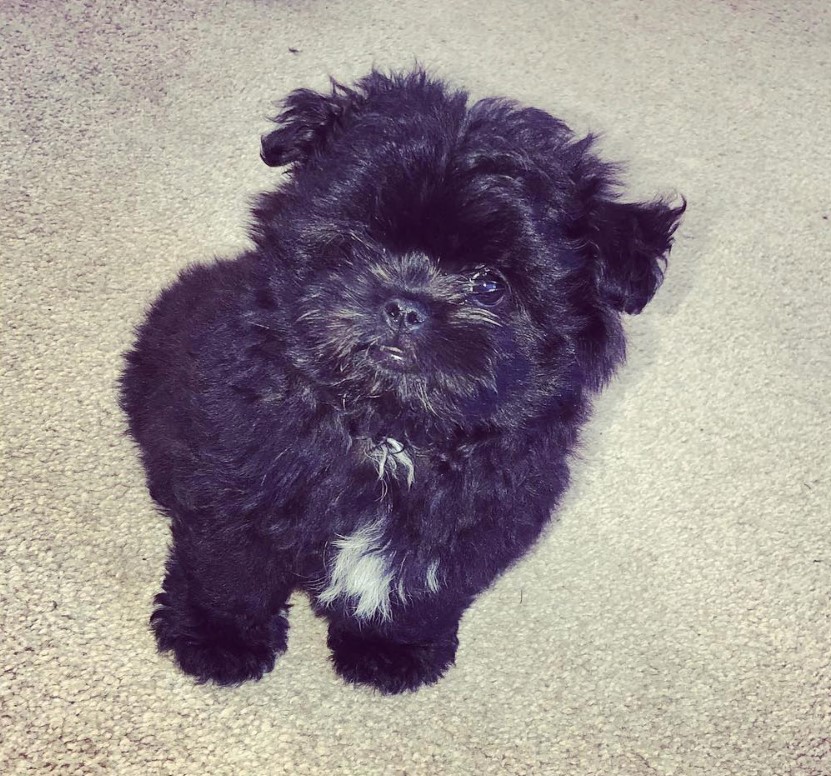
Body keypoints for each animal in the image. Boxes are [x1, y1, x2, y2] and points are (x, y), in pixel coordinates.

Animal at [120, 69, 684, 696]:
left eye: (490, 285)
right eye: (362, 242)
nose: (405, 306)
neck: (389, 427)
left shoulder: (470, 526)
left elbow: (417, 595)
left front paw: (387, 650)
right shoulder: (237, 487)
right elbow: (230, 573)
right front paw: (220, 640)